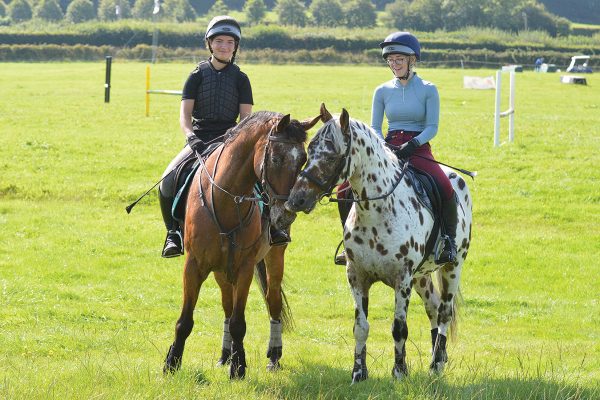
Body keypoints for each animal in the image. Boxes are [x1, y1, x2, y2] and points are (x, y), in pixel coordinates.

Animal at [162, 111, 322, 378]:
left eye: (302, 160)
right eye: (276, 158)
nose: (287, 212)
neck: (226, 199)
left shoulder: (245, 266)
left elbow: (239, 322)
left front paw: (238, 367)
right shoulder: (194, 265)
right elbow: (185, 321)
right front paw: (172, 363)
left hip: (273, 258)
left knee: (273, 300)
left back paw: (273, 356)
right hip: (220, 270)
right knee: (227, 304)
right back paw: (225, 355)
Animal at [286, 104, 474, 382]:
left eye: (331, 155)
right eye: (310, 151)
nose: (296, 200)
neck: (377, 210)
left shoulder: (402, 279)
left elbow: (399, 328)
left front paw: (399, 372)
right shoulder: (357, 275)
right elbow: (360, 326)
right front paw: (358, 373)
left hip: (453, 267)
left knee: (444, 313)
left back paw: (437, 363)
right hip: (422, 276)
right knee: (432, 307)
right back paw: (435, 358)